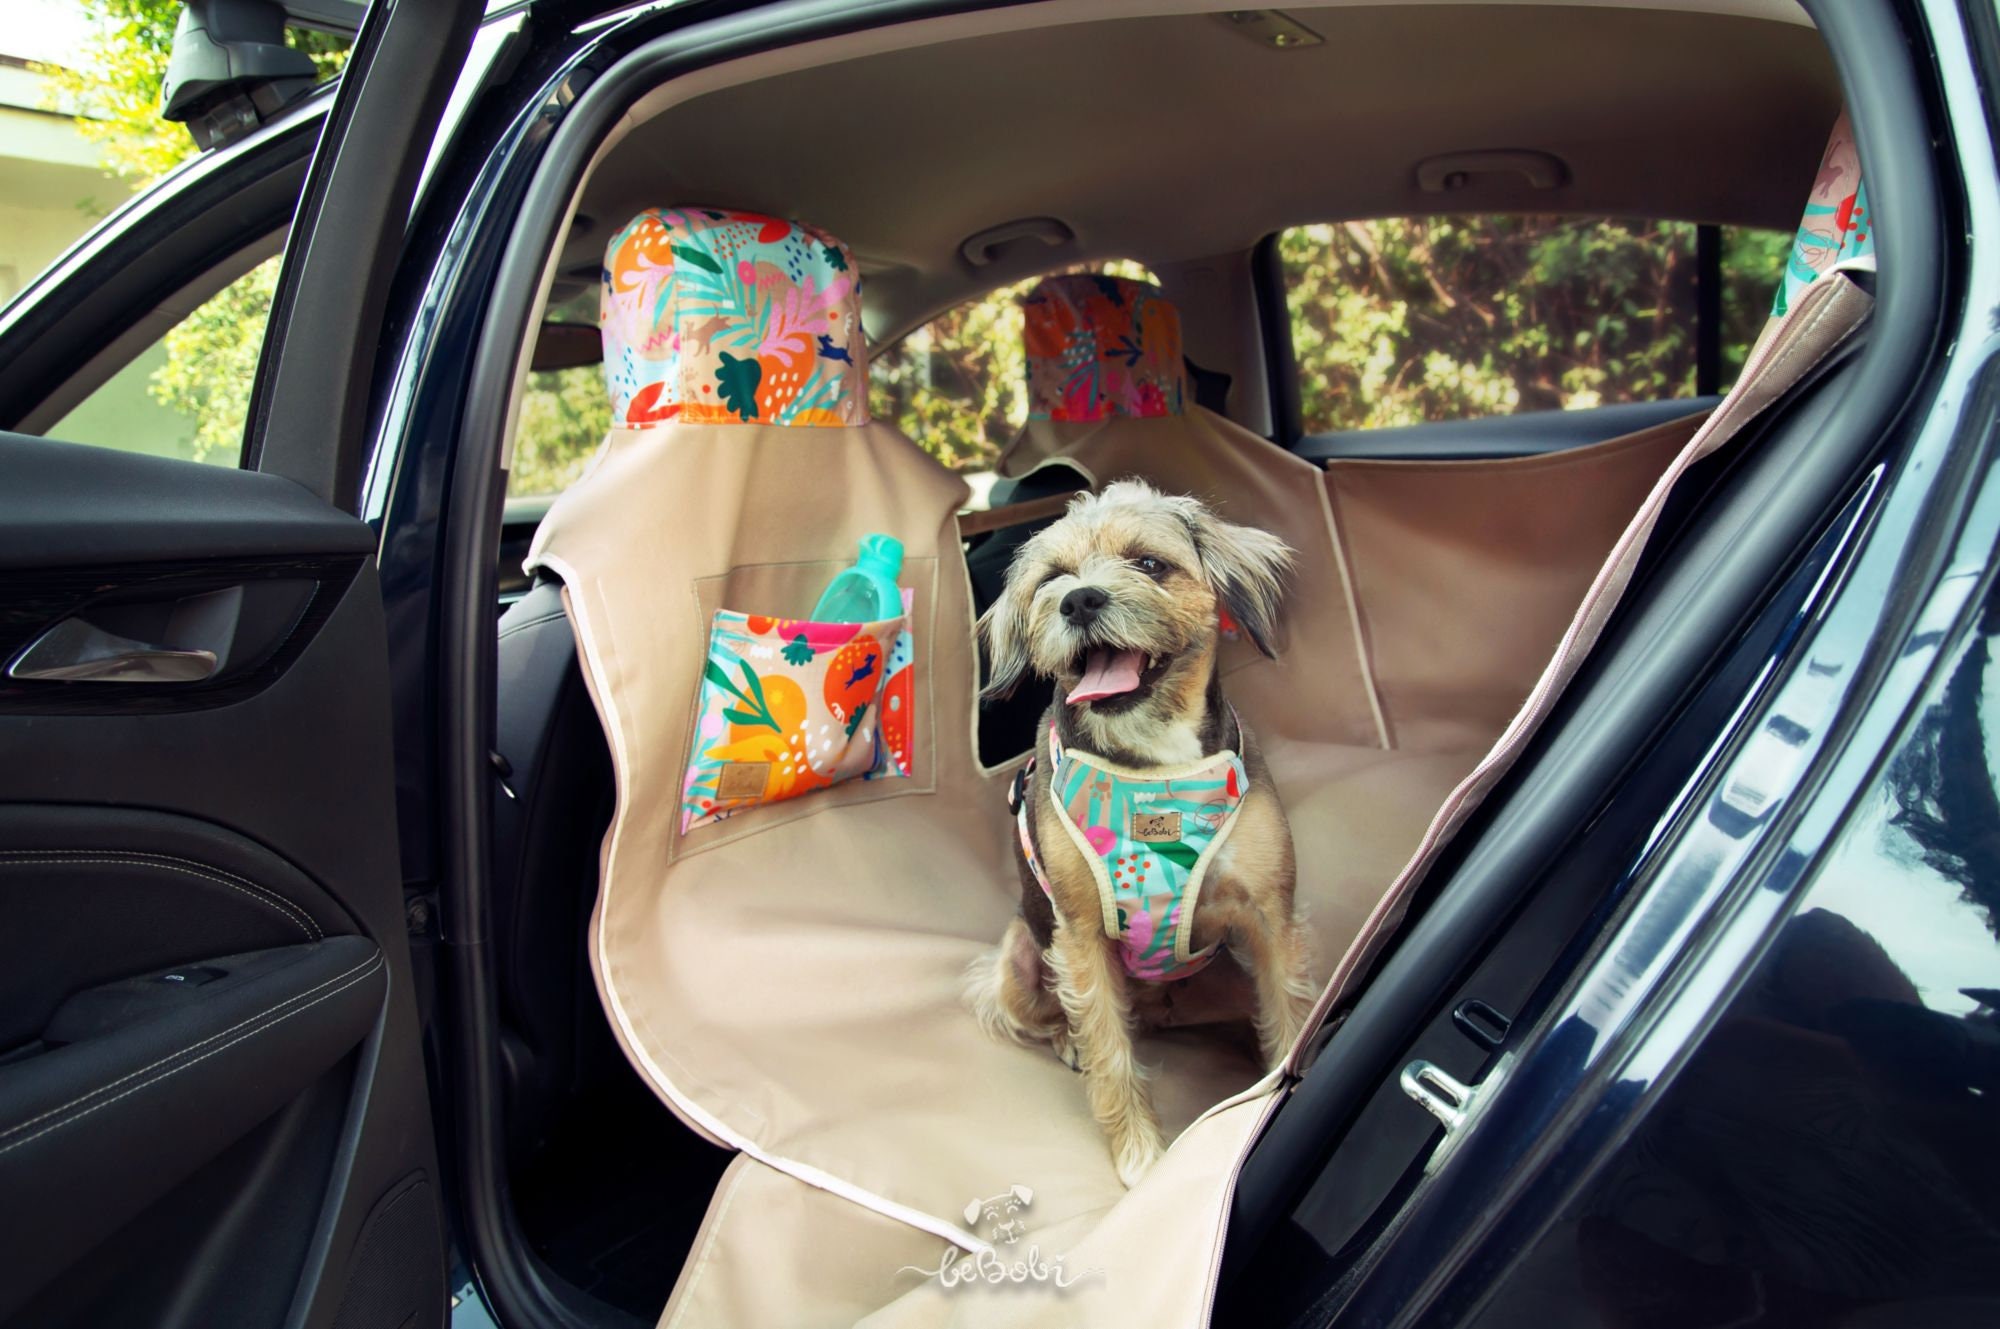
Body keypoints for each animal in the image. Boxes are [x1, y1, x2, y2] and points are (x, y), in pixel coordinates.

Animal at [964, 482, 1320, 1184]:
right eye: (1053, 578)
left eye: (1149, 564)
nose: (1079, 600)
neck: (1155, 763)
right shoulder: (1081, 942)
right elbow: (1110, 1052)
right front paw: (1140, 1157)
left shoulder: (1271, 919)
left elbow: (1288, 1015)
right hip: (1020, 961)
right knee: (1050, 1016)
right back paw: (1066, 1041)